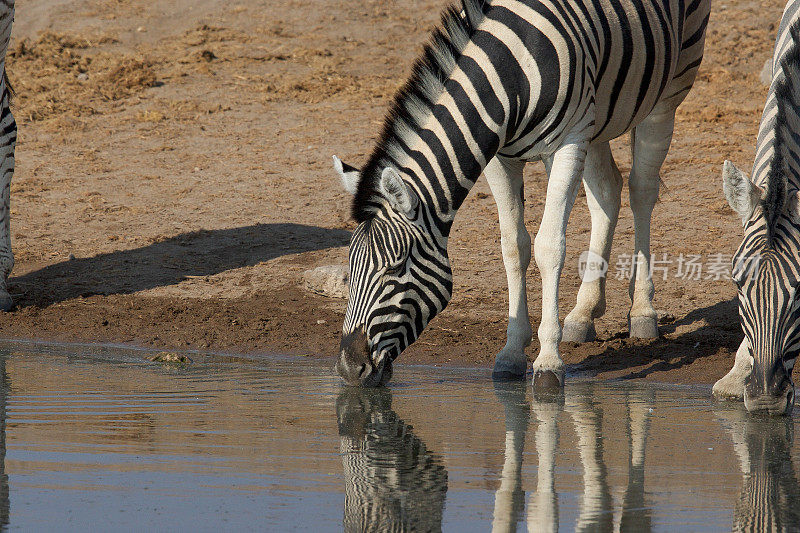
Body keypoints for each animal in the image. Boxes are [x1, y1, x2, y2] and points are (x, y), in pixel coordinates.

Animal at [334, 0, 708, 384]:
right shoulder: (500, 158)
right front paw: (512, 352)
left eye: (395, 270)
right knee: (607, 191)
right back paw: (583, 312)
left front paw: (548, 361)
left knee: (641, 190)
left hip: (671, 85)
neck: (507, 77)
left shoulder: (567, 142)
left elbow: (549, 246)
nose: (348, 368)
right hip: (598, 115)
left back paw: (643, 310)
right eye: (349, 269)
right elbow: (514, 247)